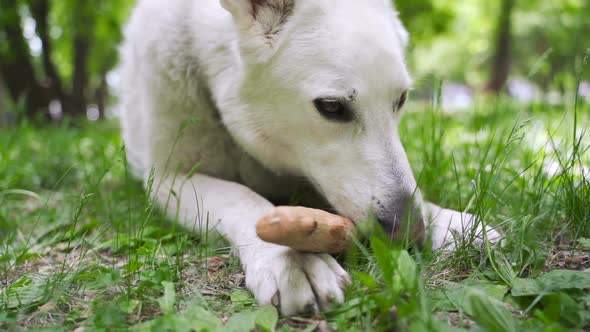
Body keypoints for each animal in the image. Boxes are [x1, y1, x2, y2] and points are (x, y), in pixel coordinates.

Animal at [118, 0, 498, 316]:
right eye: (331, 107)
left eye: (402, 99)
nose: (410, 233)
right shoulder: (169, 178)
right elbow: (240, 197)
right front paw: (292, 261)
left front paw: (445, 220)